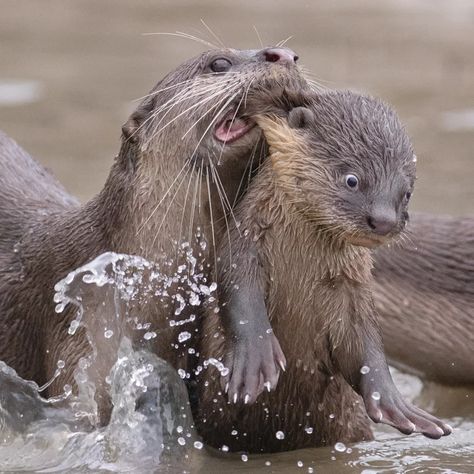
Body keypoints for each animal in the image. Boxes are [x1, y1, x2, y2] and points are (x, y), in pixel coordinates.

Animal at [197, 90, 452, 454]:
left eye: (406, 193)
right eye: (352, 179)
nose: (384, 220)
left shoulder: (352, 287)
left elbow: (364, 345)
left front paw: (394, 402)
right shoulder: (245, 244)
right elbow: (239, 293)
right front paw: (255, 359)